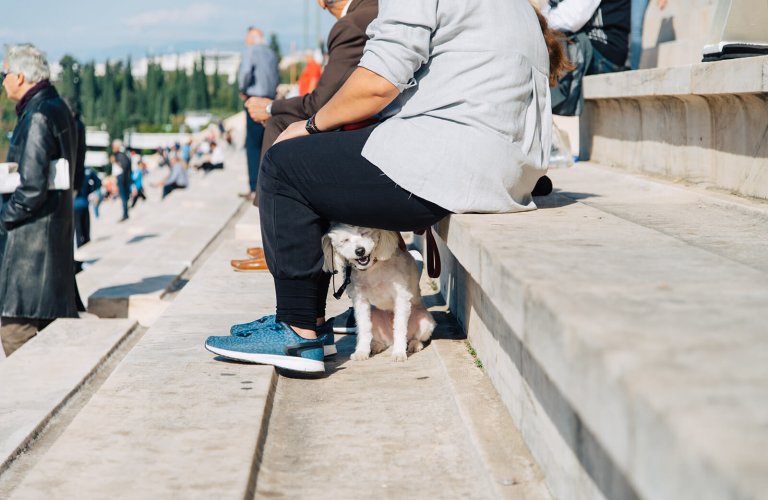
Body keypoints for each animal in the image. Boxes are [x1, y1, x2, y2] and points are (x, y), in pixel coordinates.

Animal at [320, 225, 436, 362]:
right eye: (345, 240)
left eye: (365, 232)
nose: (360, 251)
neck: (371, 268)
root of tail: (390, 340)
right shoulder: (360, 300)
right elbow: (364, 328)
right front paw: (361, 352)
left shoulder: (401, 298)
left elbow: (400, 327)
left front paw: (399, 352)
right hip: (375, 316)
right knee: (378, 338)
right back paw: (376, 346)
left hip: (424, 320)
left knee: (415, 337)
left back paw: (415, 344)